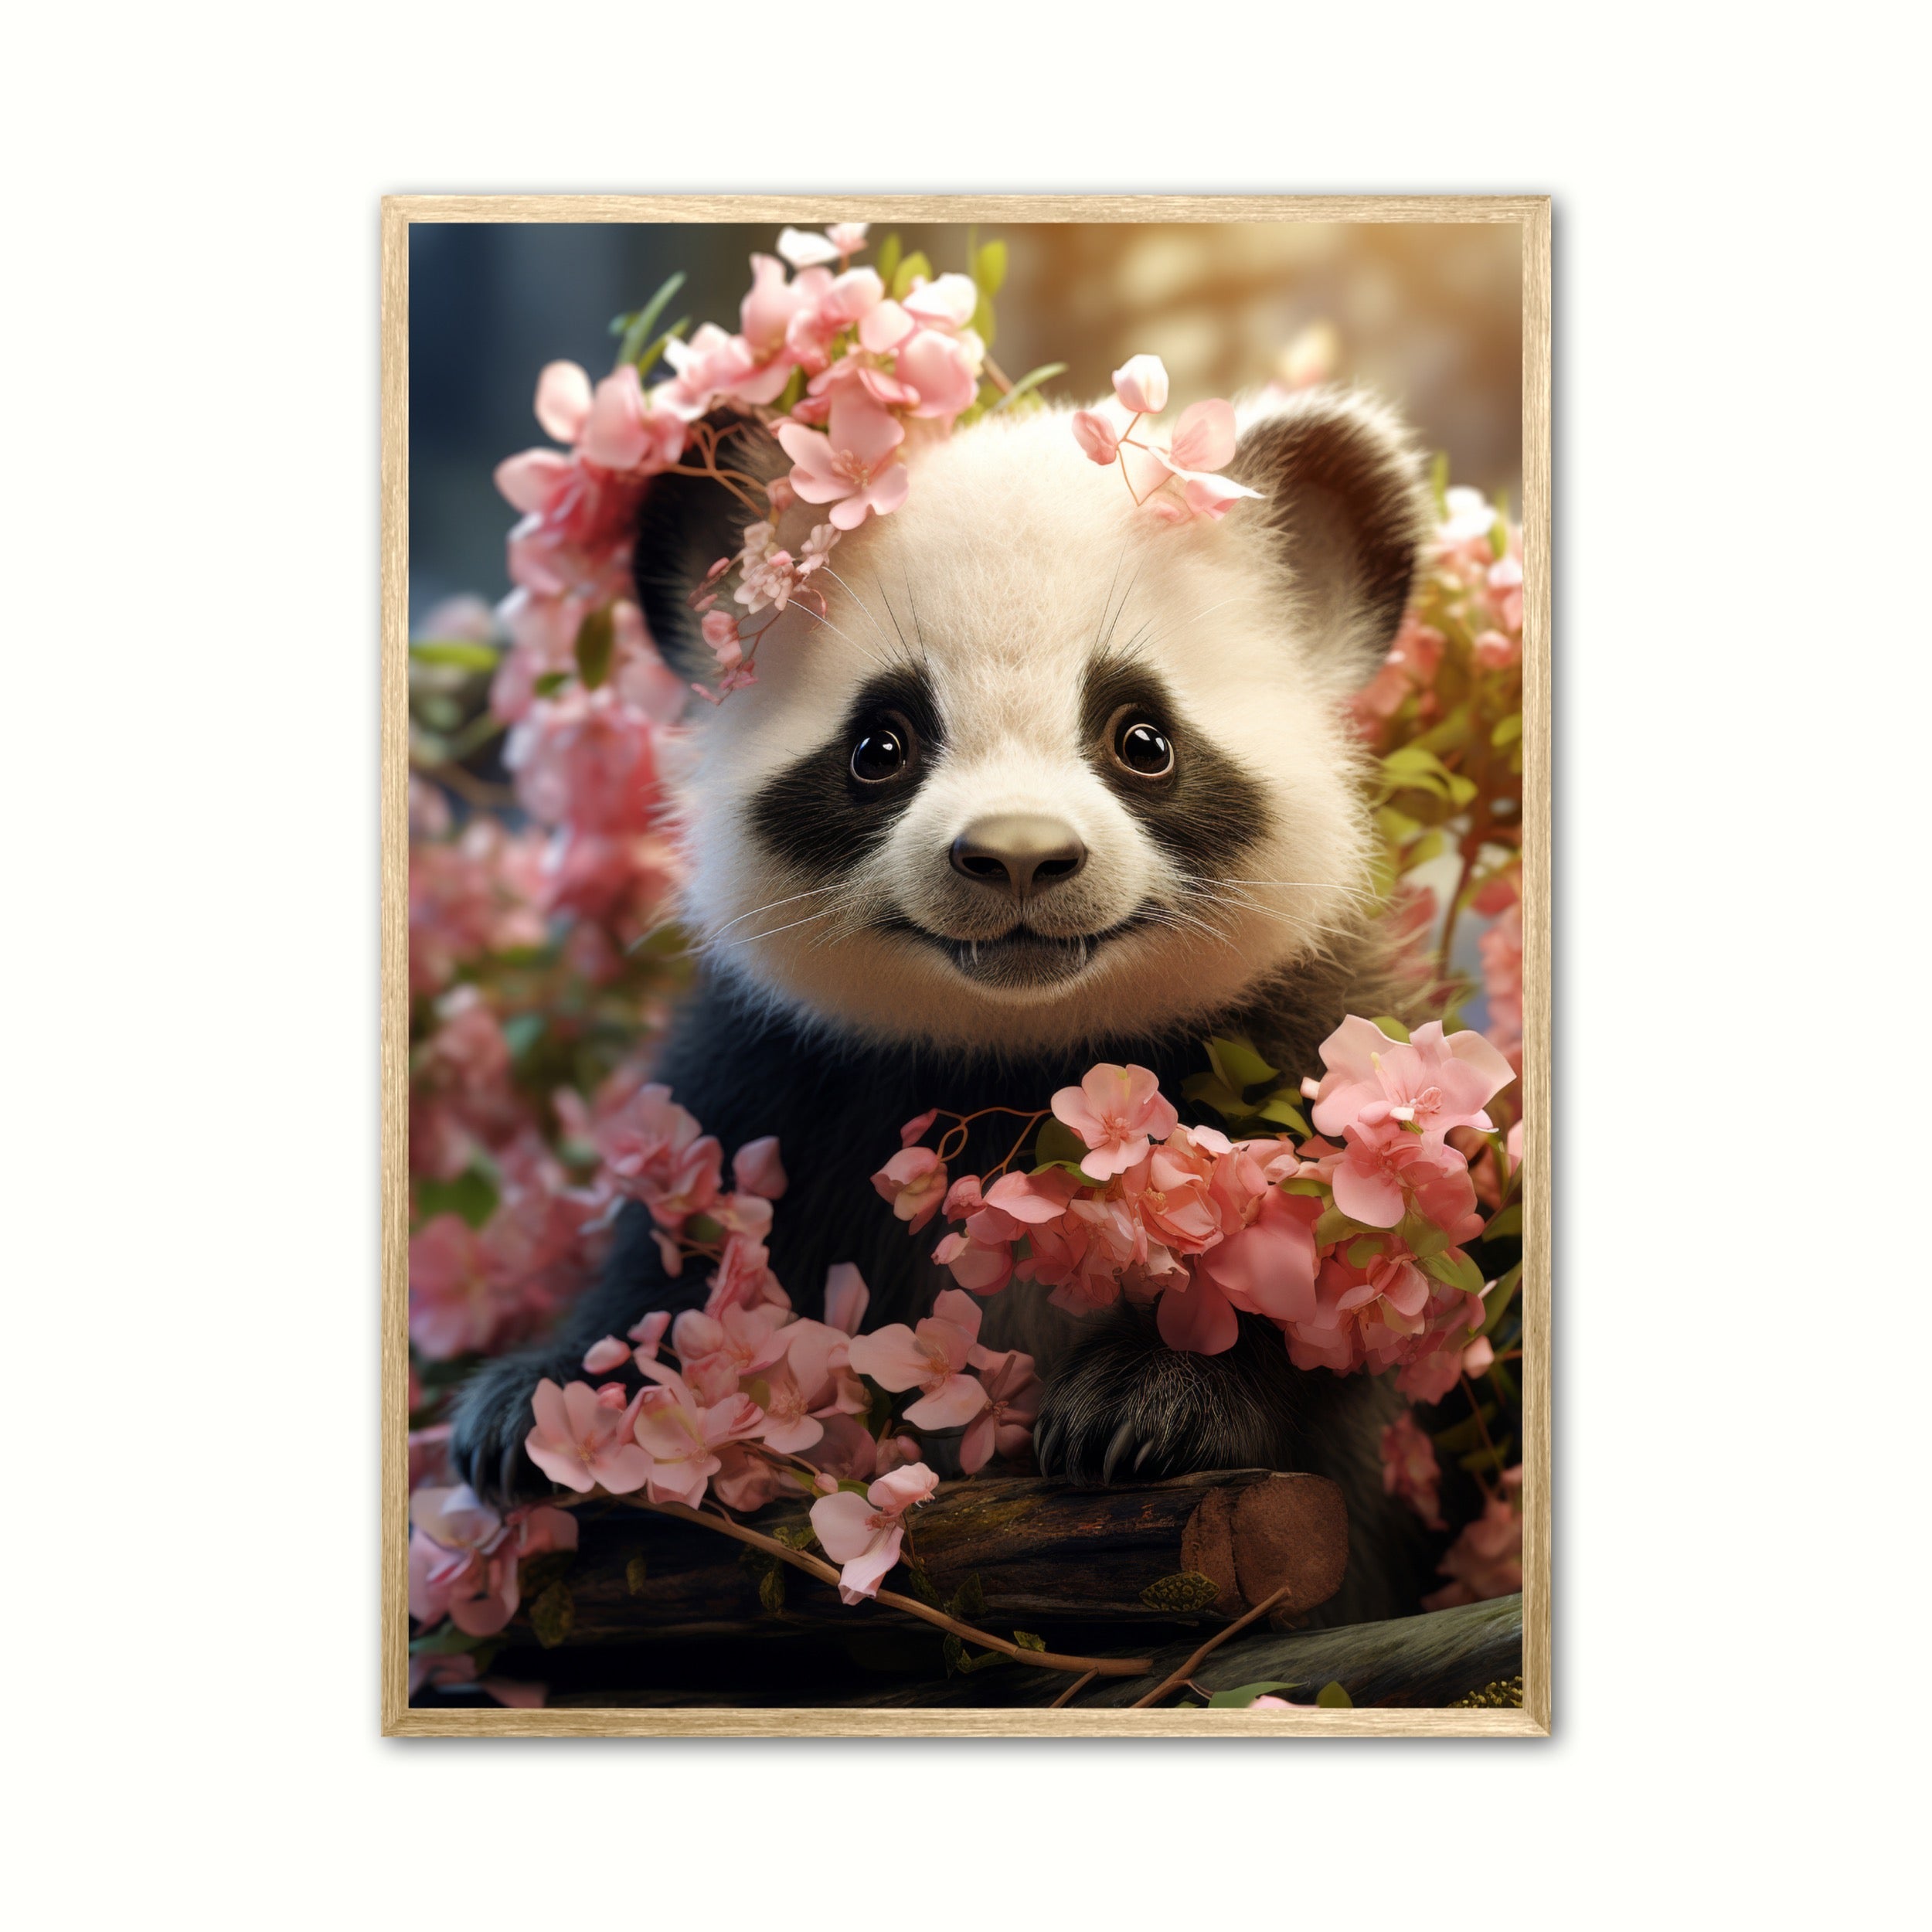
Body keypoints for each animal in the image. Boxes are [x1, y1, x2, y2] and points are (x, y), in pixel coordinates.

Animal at [450, 383, 1442, 1626]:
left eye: (1141, 738)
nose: (1019, 857)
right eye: (882, 744)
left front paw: (1146, 1403)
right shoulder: (786, 1069)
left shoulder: (1294, 1032)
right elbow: (683, 1246)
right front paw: (537, 1410)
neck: (1022, 1049)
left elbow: (1332, 1277)